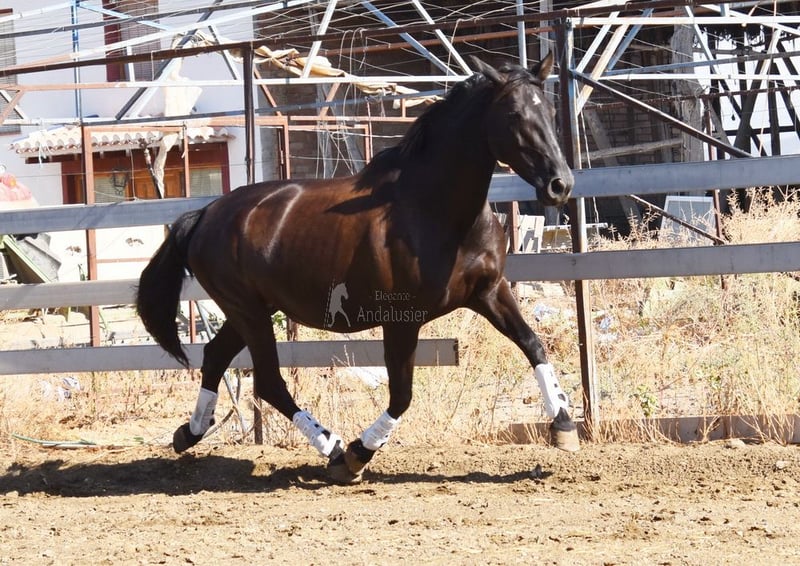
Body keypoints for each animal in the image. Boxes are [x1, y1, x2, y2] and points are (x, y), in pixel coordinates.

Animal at [136, 54, 578, 484]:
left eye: (549, 110)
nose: (560, 185)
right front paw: (357, 454)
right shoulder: (402, 319)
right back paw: (331, 448)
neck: (436, 210)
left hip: (252, 310)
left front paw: (564, 426)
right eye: (514, 115)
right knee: (269, 380)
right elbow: (402, 394)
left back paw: (189, 432)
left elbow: (533, 344)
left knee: (215, 357)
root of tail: (203, 214)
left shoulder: (489, 292)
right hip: (248, 312)